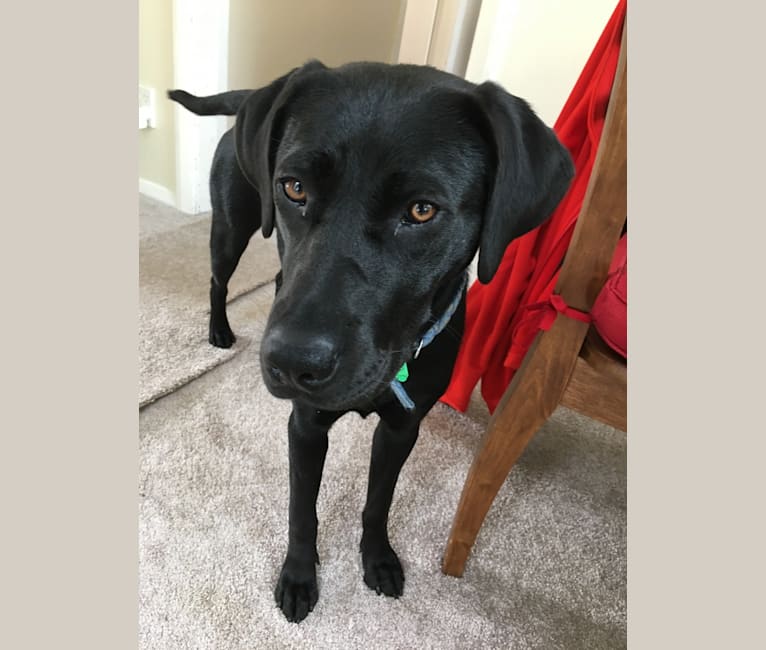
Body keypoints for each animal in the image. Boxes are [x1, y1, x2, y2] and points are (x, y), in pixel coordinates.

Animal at [170, 62, 576, 624]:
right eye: (294, 187)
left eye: (422, 210)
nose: (289, 363)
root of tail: (253, 95)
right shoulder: (306, 425)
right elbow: (302, 510)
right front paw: (298, 577)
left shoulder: (403, 427)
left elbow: (378, 501)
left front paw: (378, 558)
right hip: (232, 224)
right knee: (217, 280)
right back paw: (219, 331)